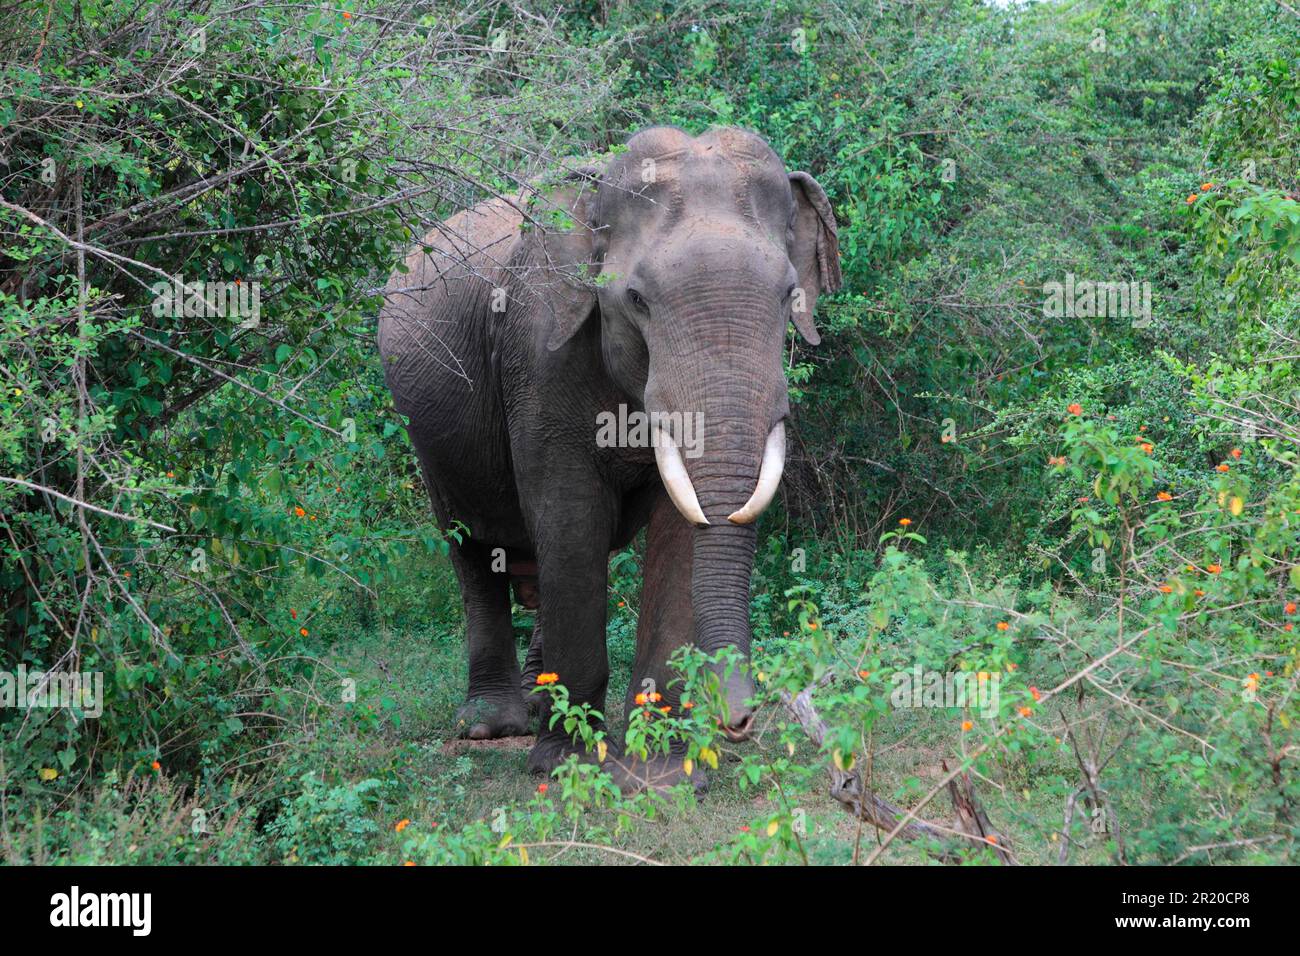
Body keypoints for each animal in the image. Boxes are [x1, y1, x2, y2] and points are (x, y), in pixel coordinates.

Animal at [377, 123, 842, 790]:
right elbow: (572, 518)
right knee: (472, 546)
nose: (740, 721)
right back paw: (493, 725)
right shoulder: (537, 352)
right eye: (637, 299)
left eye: (788, 294)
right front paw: (569, 768)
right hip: (421, 424)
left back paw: (539, 701)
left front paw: (666, 775)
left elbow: (679, 527)